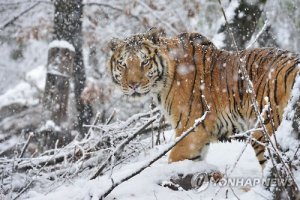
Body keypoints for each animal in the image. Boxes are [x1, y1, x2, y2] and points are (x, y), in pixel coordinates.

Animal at [108, 27, 300, 168]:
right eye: (123, 64)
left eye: (145, 62)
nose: (133, 85)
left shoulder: (190, 131)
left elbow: (174, 159)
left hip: (265, 129)